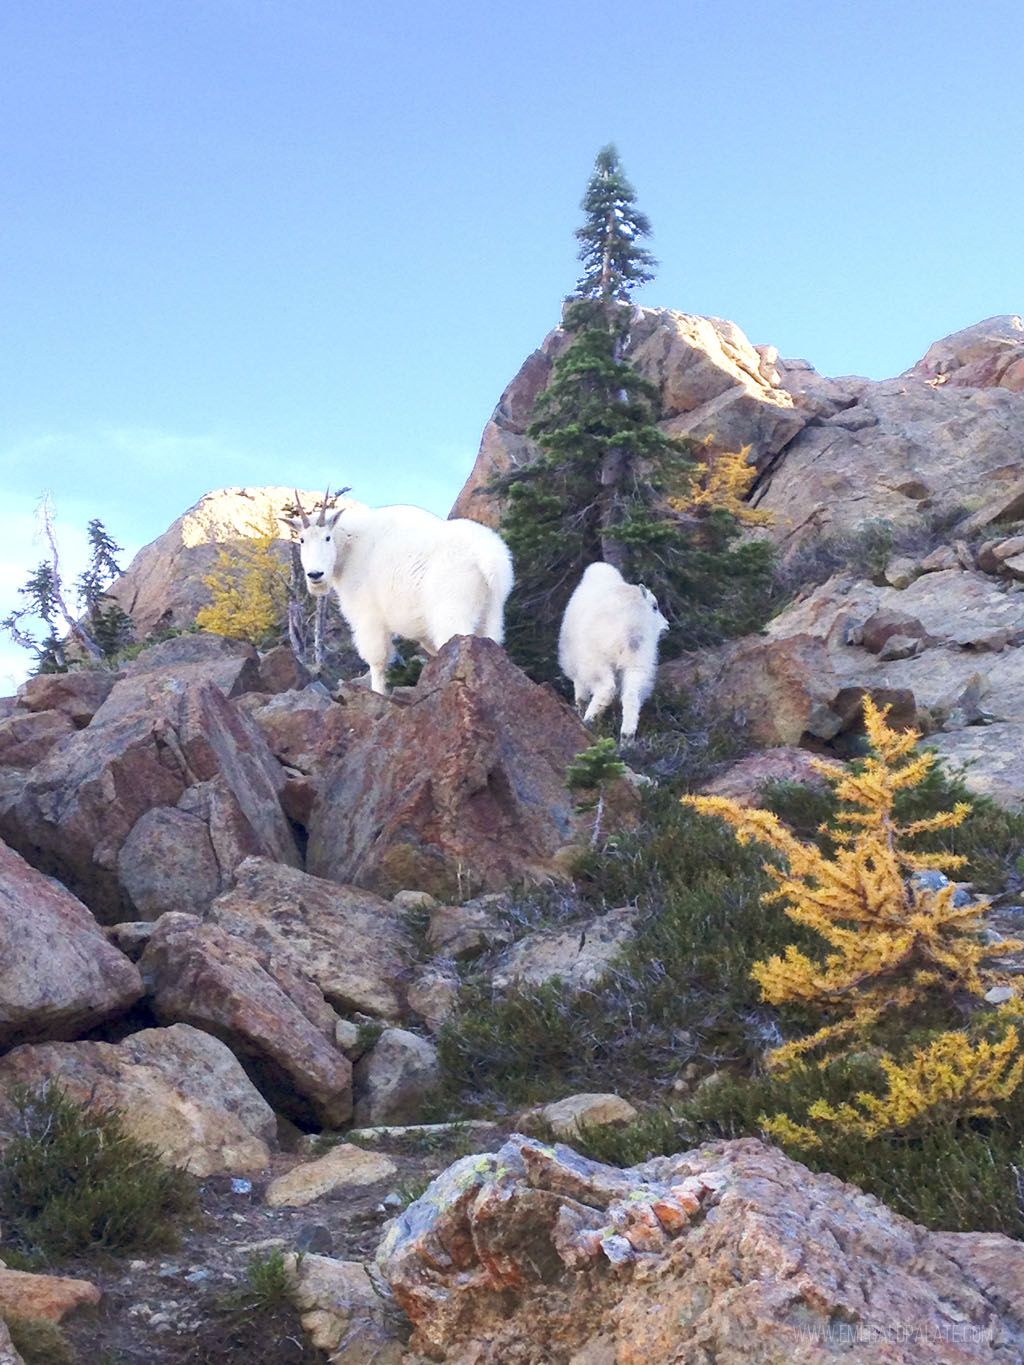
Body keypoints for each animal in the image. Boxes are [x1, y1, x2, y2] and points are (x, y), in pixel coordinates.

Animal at [285, 494, 516, 693]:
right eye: (302, 540)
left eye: (327, 537)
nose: (315, 574)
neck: (351, 546)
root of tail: (489, 557)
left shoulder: (369, 617)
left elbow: (377, 662)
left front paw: (379, 694)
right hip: (493, 611)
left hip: (452, 610)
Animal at [557, 559, 669, 742]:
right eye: (655, 607)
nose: (667, 627)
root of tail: (632, 625)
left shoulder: (577, 669)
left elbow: (581, 697)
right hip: (638, 661)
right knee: (631, 696)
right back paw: (627, 737)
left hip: (597, 660)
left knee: (606, 688)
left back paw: (589, 720)